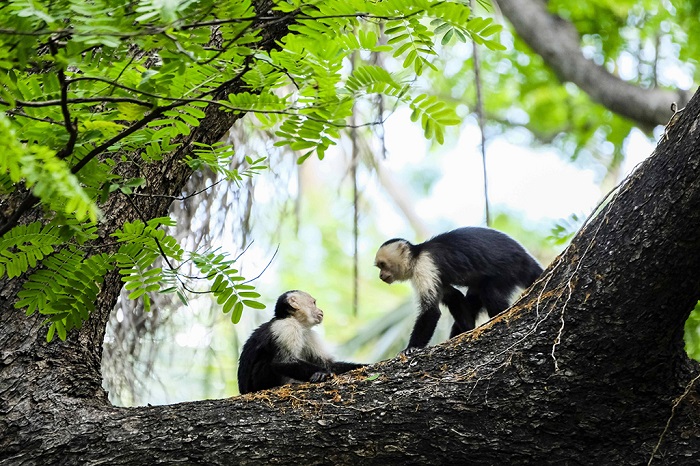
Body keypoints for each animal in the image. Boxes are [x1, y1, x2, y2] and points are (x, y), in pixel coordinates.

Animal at [374, 227, 544, 354]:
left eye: (383, 265)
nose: (380, 276)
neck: (417, 255)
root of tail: (524, 256)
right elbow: (453, 297)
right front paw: (467, 328)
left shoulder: (425, 265)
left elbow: (431, 311)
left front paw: (411, 348)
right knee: (474, 298)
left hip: (509, 269)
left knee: (490, 292)